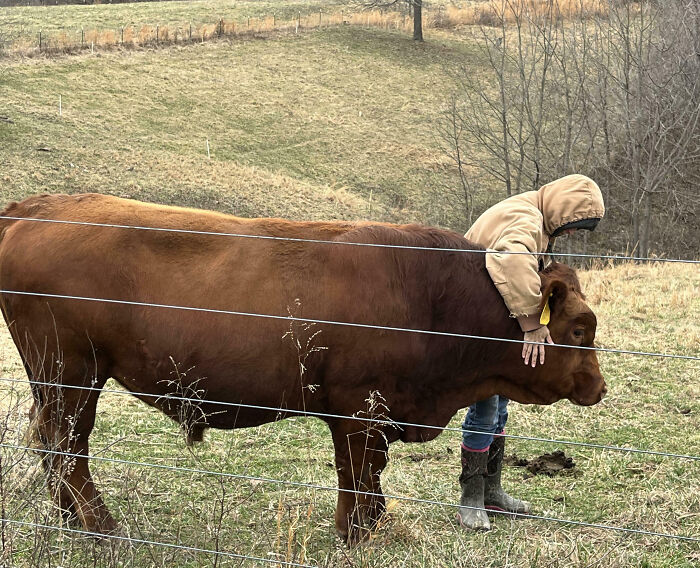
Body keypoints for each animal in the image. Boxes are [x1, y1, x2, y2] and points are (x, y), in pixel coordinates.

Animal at [0, 193, 606, 544]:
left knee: (51, 443)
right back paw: (101, 527)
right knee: (67, 446)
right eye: (579, 327)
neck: (431, 294)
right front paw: (357, 533)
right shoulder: (360, 412)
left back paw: (74, 521)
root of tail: (37, 205)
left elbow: (368, 475)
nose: (597, 386)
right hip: (71, 375)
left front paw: (373, 525)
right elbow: (358, 472)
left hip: (56, 378)